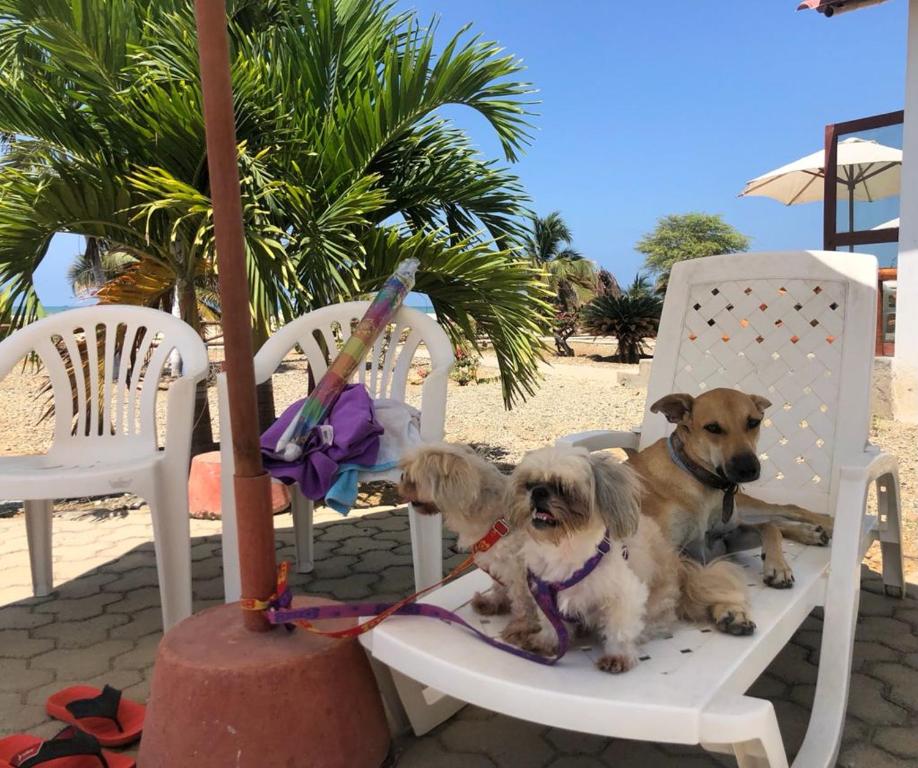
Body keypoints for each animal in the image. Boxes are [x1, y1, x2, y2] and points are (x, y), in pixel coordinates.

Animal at [632, 390, 832, 632]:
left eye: (753, 422)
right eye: (712, 428)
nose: (748, 469)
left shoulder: (726, 538)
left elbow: (769, 527)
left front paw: (777, 566)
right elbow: (694, 578)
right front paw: (728, 608)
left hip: (744, 508)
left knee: (783, 509)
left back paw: (821, 526)